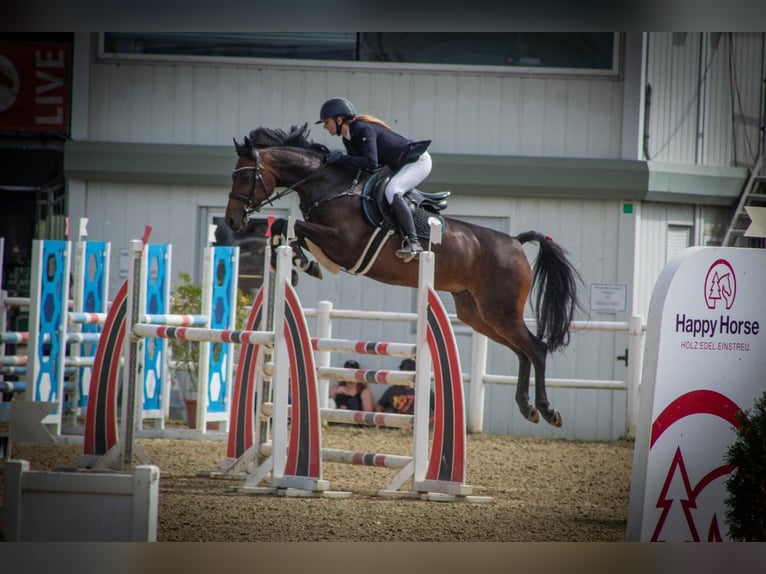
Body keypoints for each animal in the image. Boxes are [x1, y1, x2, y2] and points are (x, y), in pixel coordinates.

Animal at [225, 122, 584, 428]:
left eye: (243, 177)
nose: (231, 222)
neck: (332, 186)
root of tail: (515, 242)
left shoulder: (344, 243)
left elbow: (292, 226)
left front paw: (304, 263)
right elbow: (288, 230)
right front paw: (302, 263)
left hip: (501, 311)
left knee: (536, 349)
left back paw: (546, 410)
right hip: (479, 314)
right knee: (522, 352)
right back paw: (527, 408)